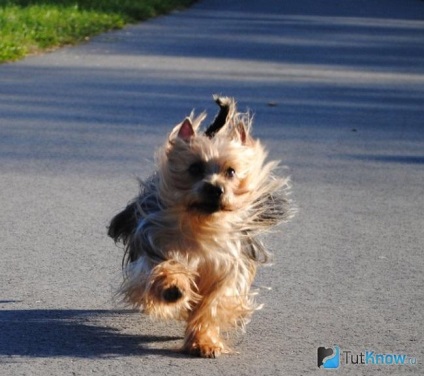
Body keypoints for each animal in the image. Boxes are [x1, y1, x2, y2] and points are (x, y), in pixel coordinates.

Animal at [107, 95, 292, 356]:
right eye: (194, 168)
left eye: (231, 171)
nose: (215, 188)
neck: (201, 224)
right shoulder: (155, 244)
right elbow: (162, 269)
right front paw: (173, 287)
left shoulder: (227, 267)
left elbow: (213, 303)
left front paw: (204, 341)